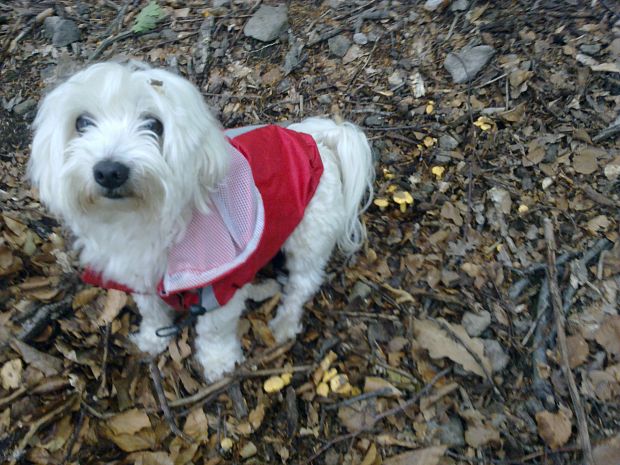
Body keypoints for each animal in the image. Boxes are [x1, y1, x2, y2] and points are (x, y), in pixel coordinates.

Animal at [29, 61, 372, 380]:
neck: (146, 217)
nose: (109, 171)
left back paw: (285, 323)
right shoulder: (141, 276)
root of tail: (319, 142)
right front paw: (152, 339)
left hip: (310, 235)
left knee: (303, 283)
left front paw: (219, 362)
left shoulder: (219, 284)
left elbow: (215, 328)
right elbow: (152, 310)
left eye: (154, 124)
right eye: (81, 122)